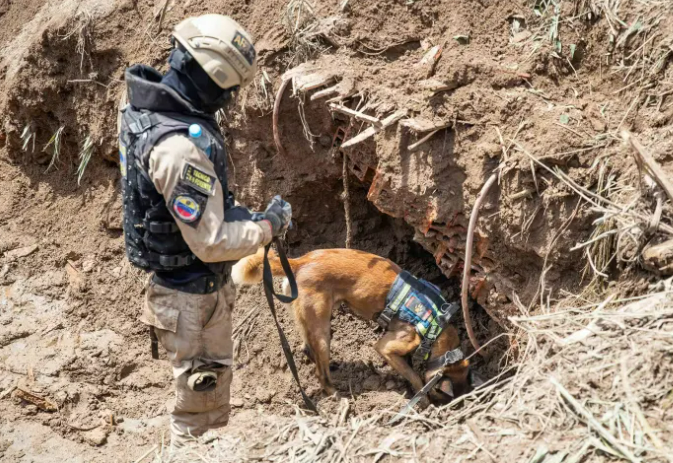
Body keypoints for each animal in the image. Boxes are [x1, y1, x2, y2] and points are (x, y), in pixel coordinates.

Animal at [234, 248, 470, 400]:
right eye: (439, 392)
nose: (445, 406)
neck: (437, 327)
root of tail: (301, 262)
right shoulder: (387, 346)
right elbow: (414, 376)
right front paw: (422, 398)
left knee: (307, 348)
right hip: (322, 332)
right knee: (320, 372)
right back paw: (335, 394)